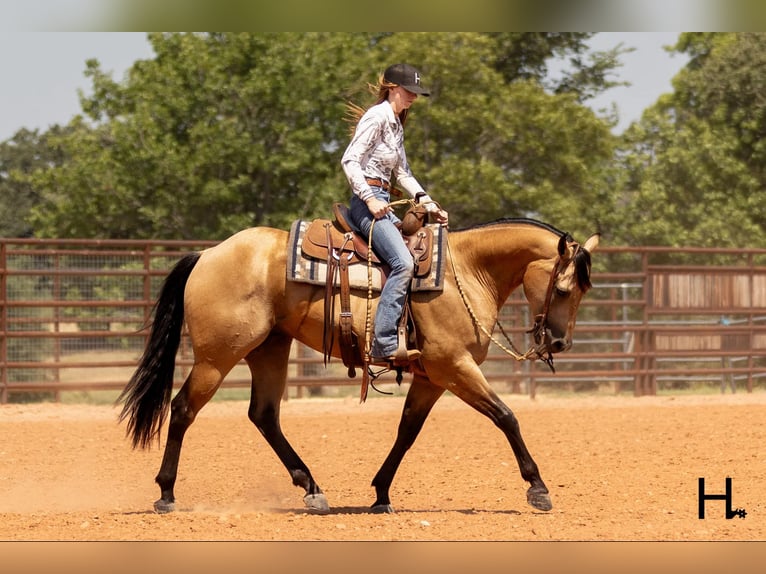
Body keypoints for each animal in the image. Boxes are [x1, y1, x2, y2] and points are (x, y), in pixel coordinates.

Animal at [117, 217, 599, 514]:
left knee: (264, 415)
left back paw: (312, 489)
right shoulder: (454, 367)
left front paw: (381, 492)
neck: (465, 270)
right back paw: (166, 493)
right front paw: (537, 488)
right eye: (562, 288)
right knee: (183, 410)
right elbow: (506, 416)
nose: (559, 342)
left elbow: (407, 431)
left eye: (581, 291)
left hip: (269, 348)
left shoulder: (432, 377)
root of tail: (207, 254)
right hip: (217, 357)